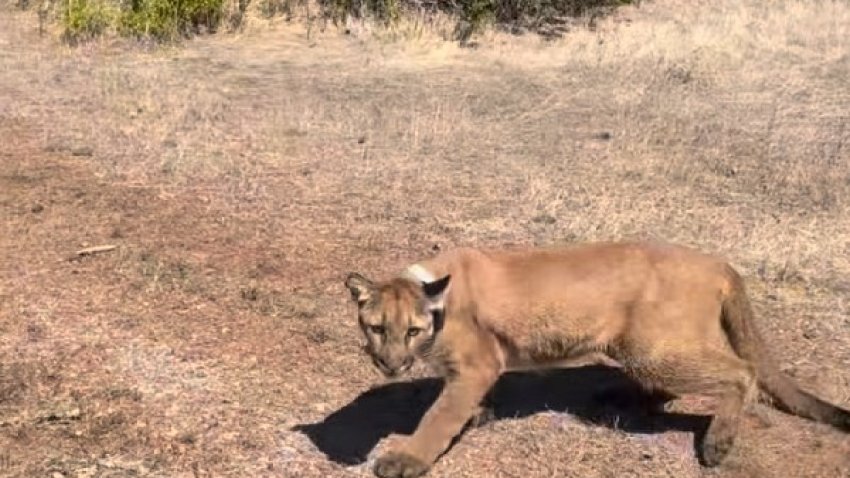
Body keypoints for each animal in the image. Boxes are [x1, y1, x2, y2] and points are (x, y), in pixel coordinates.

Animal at [343, 241, 850, 478]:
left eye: (412, 330)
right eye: (376, 328)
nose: (390, 364)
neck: (438, 301)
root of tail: (717, 262)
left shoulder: (476, 365)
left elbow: (438, 417)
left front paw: (406, 458)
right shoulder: (475, 372)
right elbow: (460, 406)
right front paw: (478, 415)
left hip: (653, 348)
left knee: (742, 373)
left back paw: (717, 444)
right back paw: (619, 397)